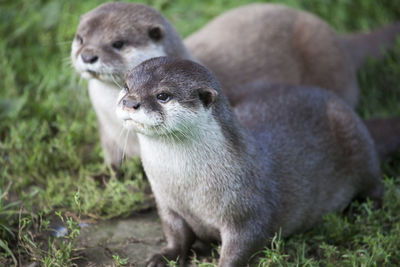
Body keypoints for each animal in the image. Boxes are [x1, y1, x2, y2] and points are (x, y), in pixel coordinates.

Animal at [115, 57, 382, 267]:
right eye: (127, 86)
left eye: (163, 95)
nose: (130, 102)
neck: (189, 189)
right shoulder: (167, 202)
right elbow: (175, 233)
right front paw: (163, 257)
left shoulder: (248, 210)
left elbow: (243, 245)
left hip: (356, 140)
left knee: (375, 183)